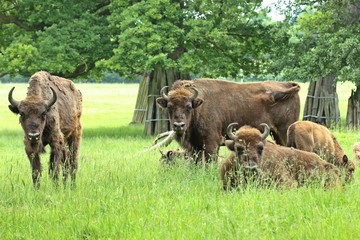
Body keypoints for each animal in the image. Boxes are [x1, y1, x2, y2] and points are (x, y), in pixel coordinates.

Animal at [156, 79, 300, 163]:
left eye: (188, 106)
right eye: (169, 106)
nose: (178, 125)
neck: (199, 106)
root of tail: (287, 84)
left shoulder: (211, 142)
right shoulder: (194, 146)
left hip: (284, 131)